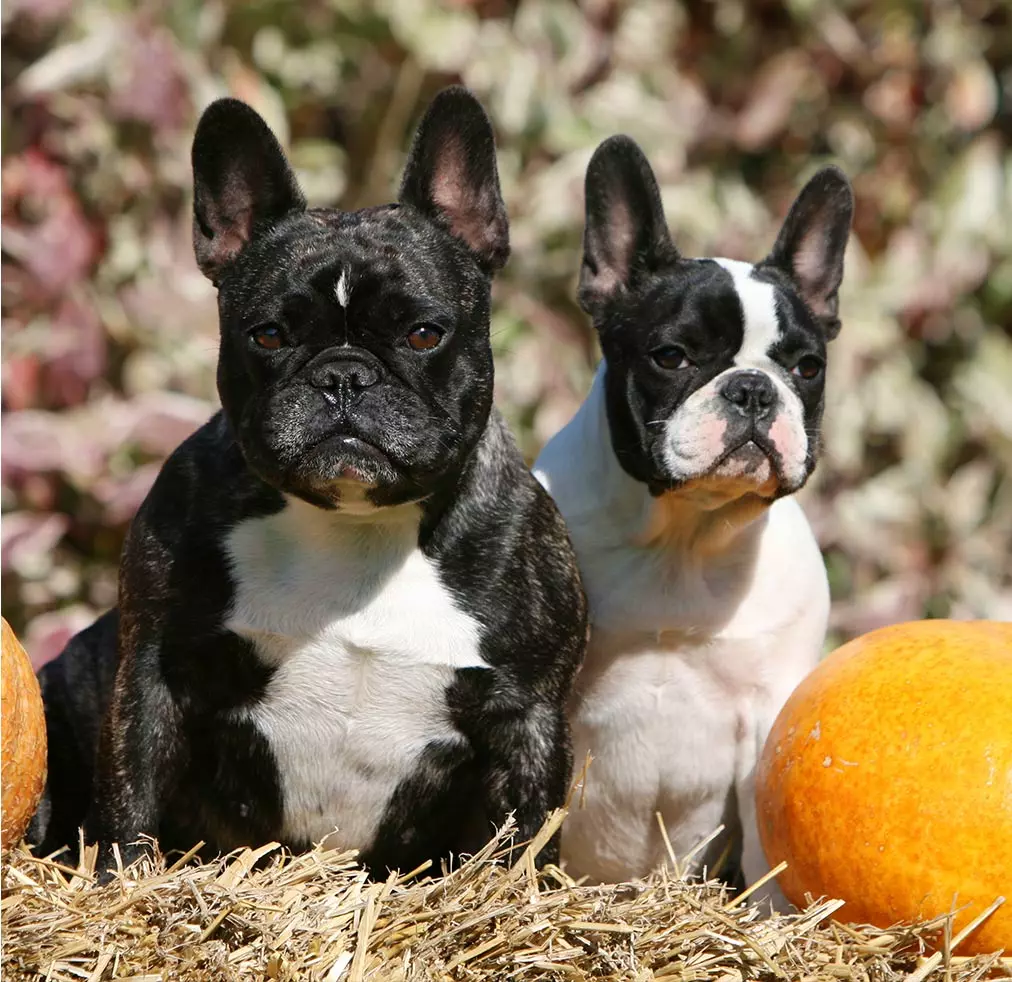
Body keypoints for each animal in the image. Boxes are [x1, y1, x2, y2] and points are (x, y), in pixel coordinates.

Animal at [29, 88, 586, 874]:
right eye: (268, 335)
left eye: (423, 333)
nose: (343, 375)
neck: (353, 523)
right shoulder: (152, 676)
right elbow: (129, 797)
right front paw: (124, 879)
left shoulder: (528, 712)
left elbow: (528, 836)